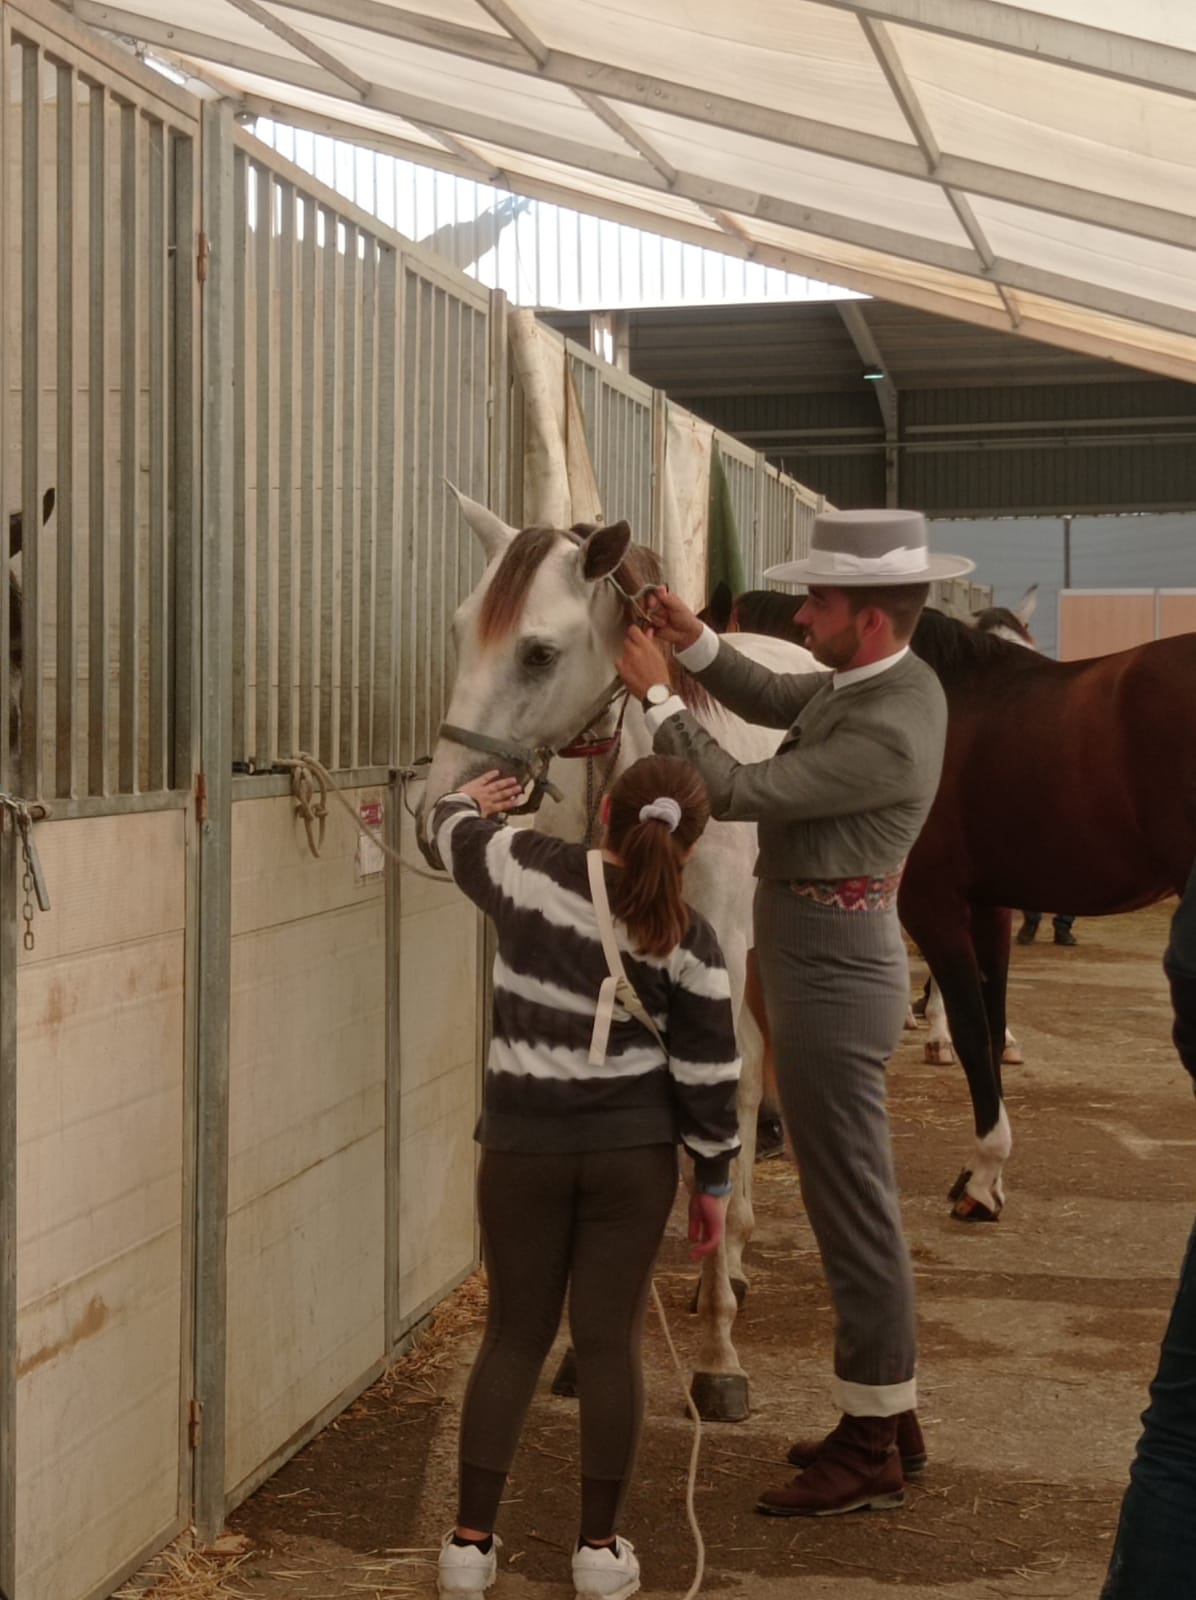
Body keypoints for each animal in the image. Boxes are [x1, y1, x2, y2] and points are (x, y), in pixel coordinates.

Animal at [412, 492, 825, 1420]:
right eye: (457, 629)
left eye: (538, 651)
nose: (437, 803)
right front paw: (580, 1351)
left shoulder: (715, 955)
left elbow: (721, 1110)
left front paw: (718, 1362)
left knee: (750, 1086)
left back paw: (729, 1275)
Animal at [901, 604, 1196, 1216]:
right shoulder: (987, 907)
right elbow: (992, 1029)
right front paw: (983, 1174)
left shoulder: (931, 905)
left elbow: (972, 1032)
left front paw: (983, 1181)